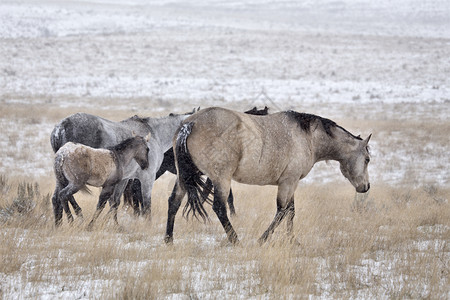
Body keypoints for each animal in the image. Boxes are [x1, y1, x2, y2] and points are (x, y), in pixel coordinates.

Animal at [50, 109, 195, 218]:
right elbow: (146, 204)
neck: (155, 134)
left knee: (57, 198)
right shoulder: (147, 177)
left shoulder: (125, 179)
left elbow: (115, 202)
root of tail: (60, 127)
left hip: (61, 177)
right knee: (65, 196)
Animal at [163, 106, 370, 245]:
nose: (365, 187)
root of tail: (190, 123)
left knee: (173, 202)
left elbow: (291, 212)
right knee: (219, 208)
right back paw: (236, 241)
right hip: (221, 179)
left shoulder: (290, 183)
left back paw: (168, 240)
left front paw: (292, 241)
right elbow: (282, 211)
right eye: (367, 159)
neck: (308, 137)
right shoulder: (288, 182)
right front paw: (262, 239)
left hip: (184, 177)